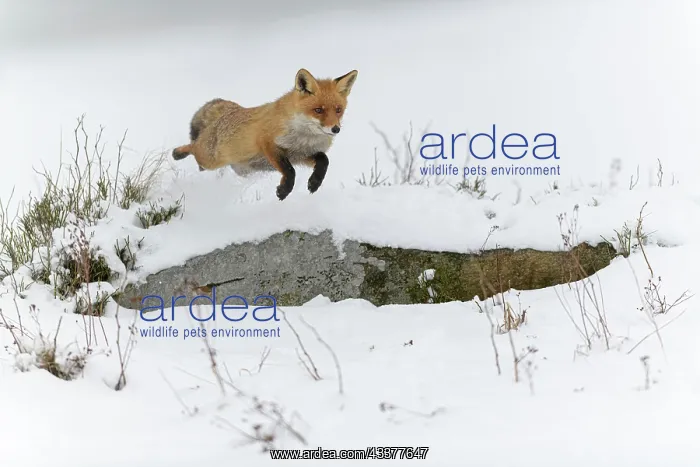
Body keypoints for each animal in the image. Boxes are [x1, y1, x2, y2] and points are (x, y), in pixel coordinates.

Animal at [171, 68, 359, 201]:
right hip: (211, 158)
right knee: (193, 147)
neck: (304, 137)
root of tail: (229, 112)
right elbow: (289, 171)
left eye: (338, 110)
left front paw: (314, 183)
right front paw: (284, 191)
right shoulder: (269, 144)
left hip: (241, 169)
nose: (335, 129)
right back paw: (177, 153)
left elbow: (324, 161)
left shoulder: (301, 154)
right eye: (318, 110)